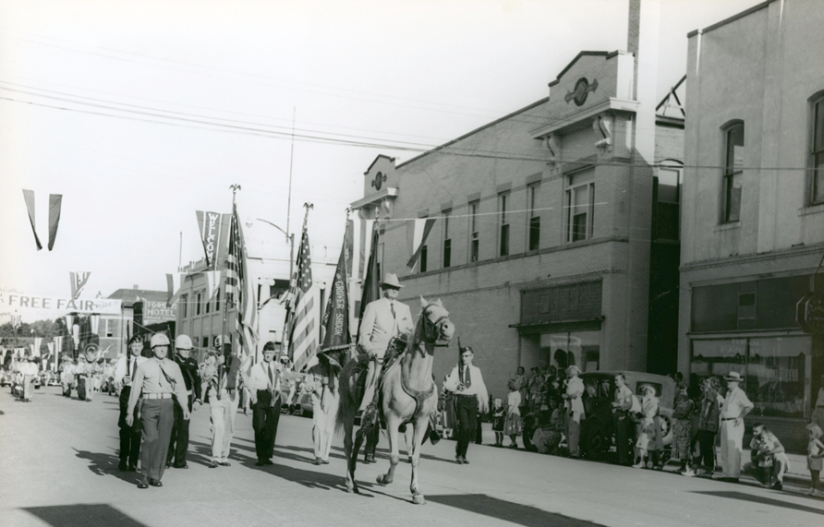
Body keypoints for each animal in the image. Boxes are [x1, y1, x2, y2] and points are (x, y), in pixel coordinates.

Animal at [334, 300, 454, 506]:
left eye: (446, 312)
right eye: (429, 312)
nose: (448, 327)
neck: (415, 378)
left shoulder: (420, 422)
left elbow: (415, 457)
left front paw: (416, 492)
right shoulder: (393, 420)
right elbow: (395, 457)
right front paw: (383, 478)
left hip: (369, 418)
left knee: (358, 438)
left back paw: (354, 480)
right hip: (349, 409)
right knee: (348, 442)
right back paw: (349, 482)